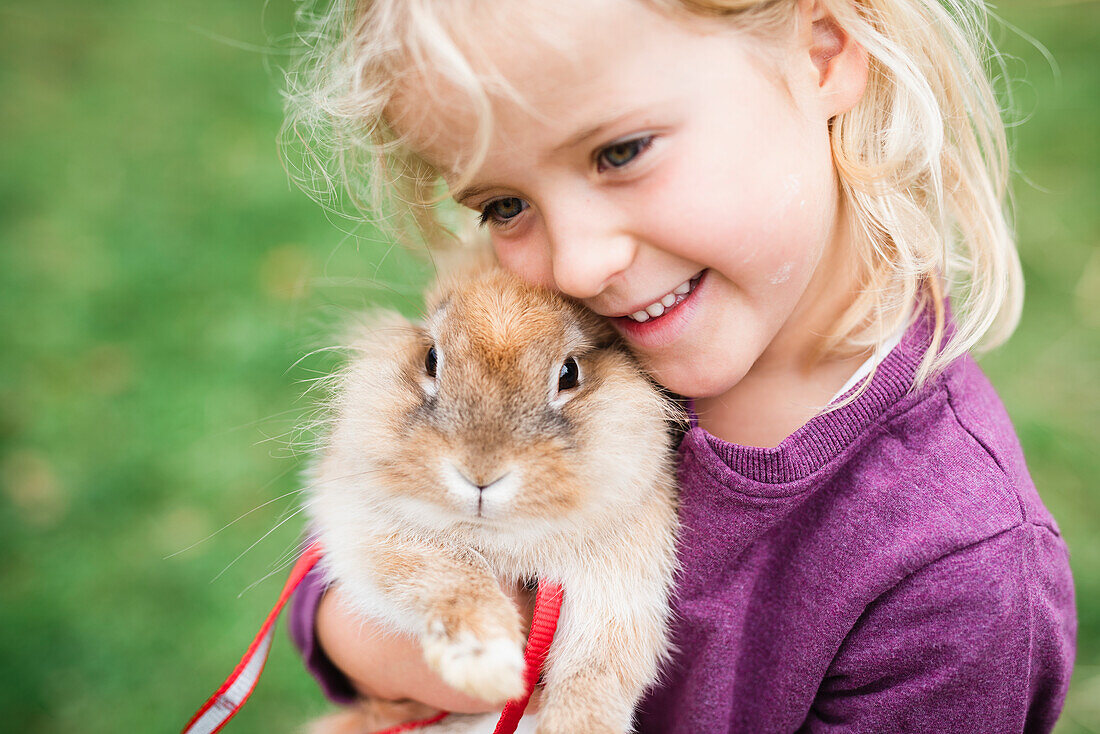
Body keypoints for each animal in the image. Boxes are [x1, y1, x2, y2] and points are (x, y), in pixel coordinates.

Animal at [301, 264, 677, 734]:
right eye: (431, 358)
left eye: (569, 373)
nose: (480, 474)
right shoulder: (369, 531)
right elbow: (454, 573)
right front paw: (486, 668)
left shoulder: (621, 592)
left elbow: (597, 670)